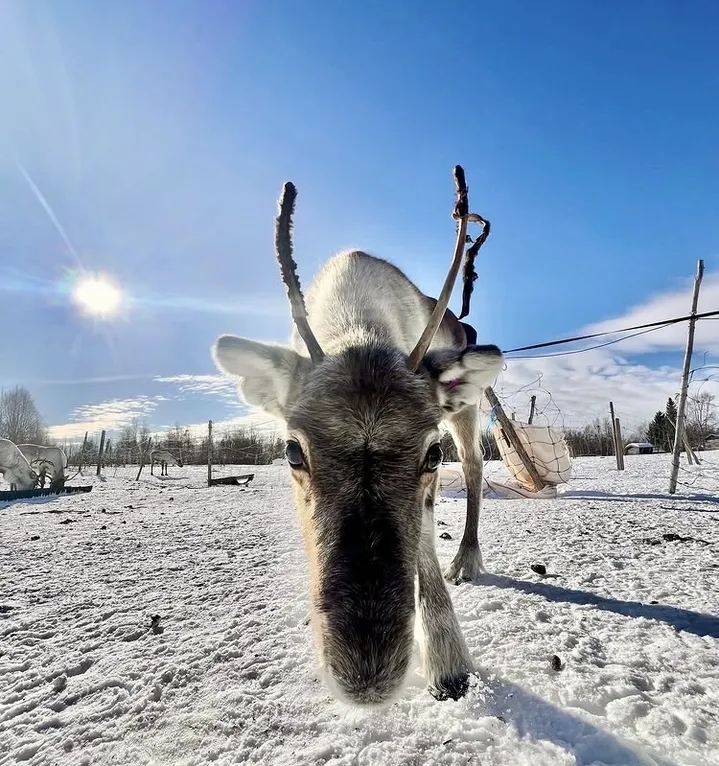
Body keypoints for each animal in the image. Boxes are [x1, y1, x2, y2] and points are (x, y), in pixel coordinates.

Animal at [212, 169, 503, 706]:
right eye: (292, 451)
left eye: (433, 454)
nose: (367, 680)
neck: (358, 323)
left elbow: (423, 538)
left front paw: (449, 664)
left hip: (468, 408)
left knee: (475, 466)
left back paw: (466, 558)